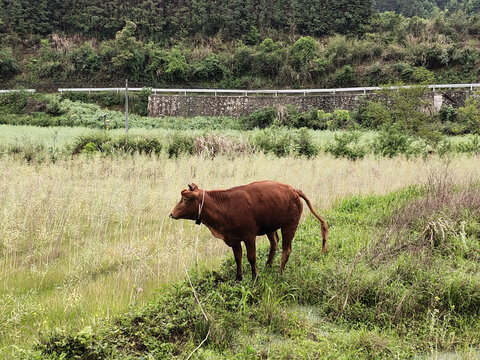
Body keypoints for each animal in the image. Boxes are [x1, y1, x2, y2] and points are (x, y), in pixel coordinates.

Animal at [168, 180, 326, 282]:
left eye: (185, 199)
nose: (171, 214)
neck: (224, 206)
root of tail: (293, 190)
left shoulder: (249, 237)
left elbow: (251, 257)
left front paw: (255, 277)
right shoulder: (234, 239)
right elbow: (238, 257)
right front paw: (238, 278)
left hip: (290, 225)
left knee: (286, 250)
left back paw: (279, 273)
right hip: (271, 226)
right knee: (274, 243)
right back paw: (268, 265)